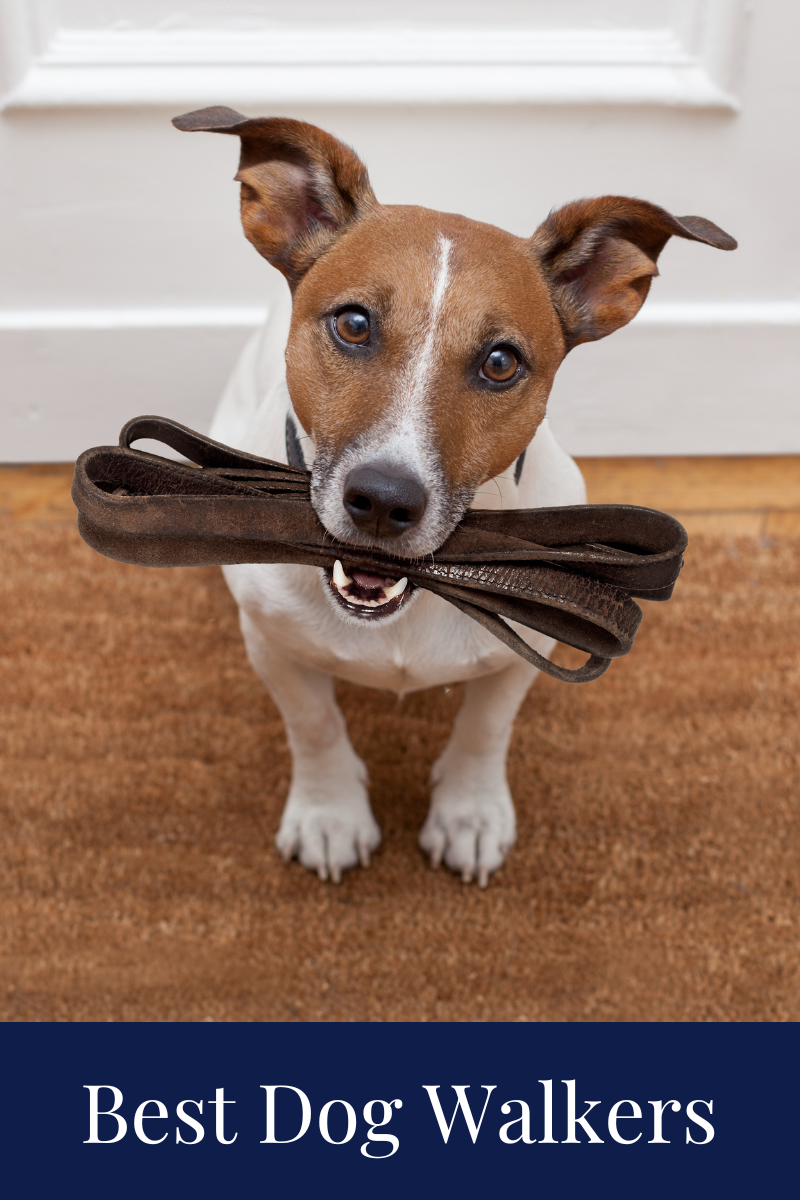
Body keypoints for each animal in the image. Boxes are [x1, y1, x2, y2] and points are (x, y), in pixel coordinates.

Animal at [172, 108, 734, 888]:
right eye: (353, 324)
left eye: (501, 362)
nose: (383, 500)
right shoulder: (272, 645)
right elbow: (313, 725)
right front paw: (329, 813)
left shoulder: (523, 650)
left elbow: (485, 729)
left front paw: (469, 813)